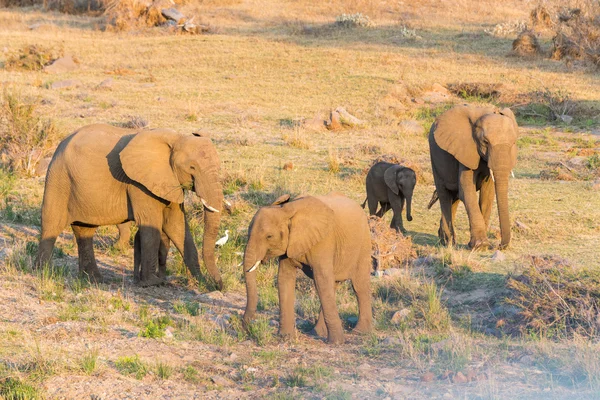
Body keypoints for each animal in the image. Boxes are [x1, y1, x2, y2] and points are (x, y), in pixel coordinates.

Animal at [36, 123, 226, 290]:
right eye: (192, 167)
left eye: (219, 167)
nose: (219, 285)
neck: (176, 138)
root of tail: (61, 144)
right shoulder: (139, 184)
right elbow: (152, 226)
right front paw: (152, 283)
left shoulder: (169, 180)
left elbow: (177, 226)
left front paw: (202, 282)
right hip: (59, 179)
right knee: (51, 225)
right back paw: (43, 274)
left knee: (84, 231)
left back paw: (93, 280)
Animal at [241, 193, 372, 344]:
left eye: (269, 236)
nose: (247, 327)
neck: (286, 210)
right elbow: (284, 279)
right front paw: (286, 338)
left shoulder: (323, 241)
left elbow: (321, 280)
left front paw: (337, 343)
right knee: (332, 287)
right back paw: (316, 332)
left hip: (364, 243)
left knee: (358, 286)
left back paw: (360, 332)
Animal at [428, 104, 516, 250]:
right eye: (485, 142)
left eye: (514, 143)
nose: (498, 246)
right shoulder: (465, 150)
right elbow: (466, 190)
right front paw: (480, 245)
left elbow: (487, 194)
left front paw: (482, 245)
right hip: (434, 156)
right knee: (444, 194)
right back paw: (448, 242)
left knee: (454, 196)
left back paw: (445, 239)